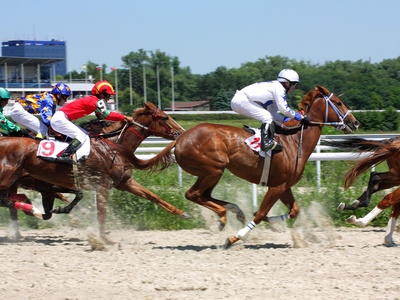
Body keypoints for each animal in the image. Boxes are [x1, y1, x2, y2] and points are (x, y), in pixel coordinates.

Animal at [0, 101, 189, 244]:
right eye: (165, 117)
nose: (182, 132)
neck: (113, 147)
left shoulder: (124, 182)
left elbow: (152, 195)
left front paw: (182, 213)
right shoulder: (102, 186)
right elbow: (101, 214)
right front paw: (104, 240)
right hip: (8, 180)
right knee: (6, 201)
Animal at [134, 86, 360, 248]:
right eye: (338, 102)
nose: (355, 122)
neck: (295, 141)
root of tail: (180, 139)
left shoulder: (284, 185)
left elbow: (293, 210)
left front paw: (271, 221)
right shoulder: (277, 186)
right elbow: (260, 215)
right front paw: (234, 238)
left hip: (211, 173)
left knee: (204, 195)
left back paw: (234, 211)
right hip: (213, 169)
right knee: (194, 194)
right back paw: (223, 217)